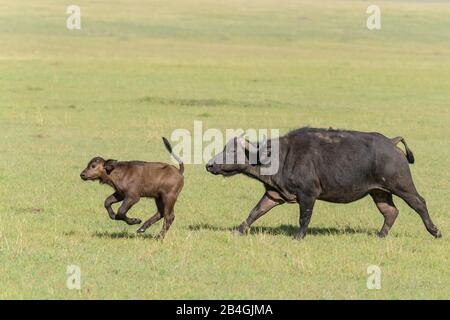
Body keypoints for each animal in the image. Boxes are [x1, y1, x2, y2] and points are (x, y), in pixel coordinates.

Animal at [206, 127, 442, 240]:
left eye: (232, 151)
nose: (209, 165)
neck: (280, 157)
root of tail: (391, 143)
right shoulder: (273, 194)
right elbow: (255, 212)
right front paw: (238, 230)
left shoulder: (308, 194)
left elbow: (304, 218)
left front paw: (298, 237)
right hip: (379, 191)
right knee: (390, 212)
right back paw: (380, 235)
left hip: (401, 185)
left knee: (419, 203)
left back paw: (435, 231)